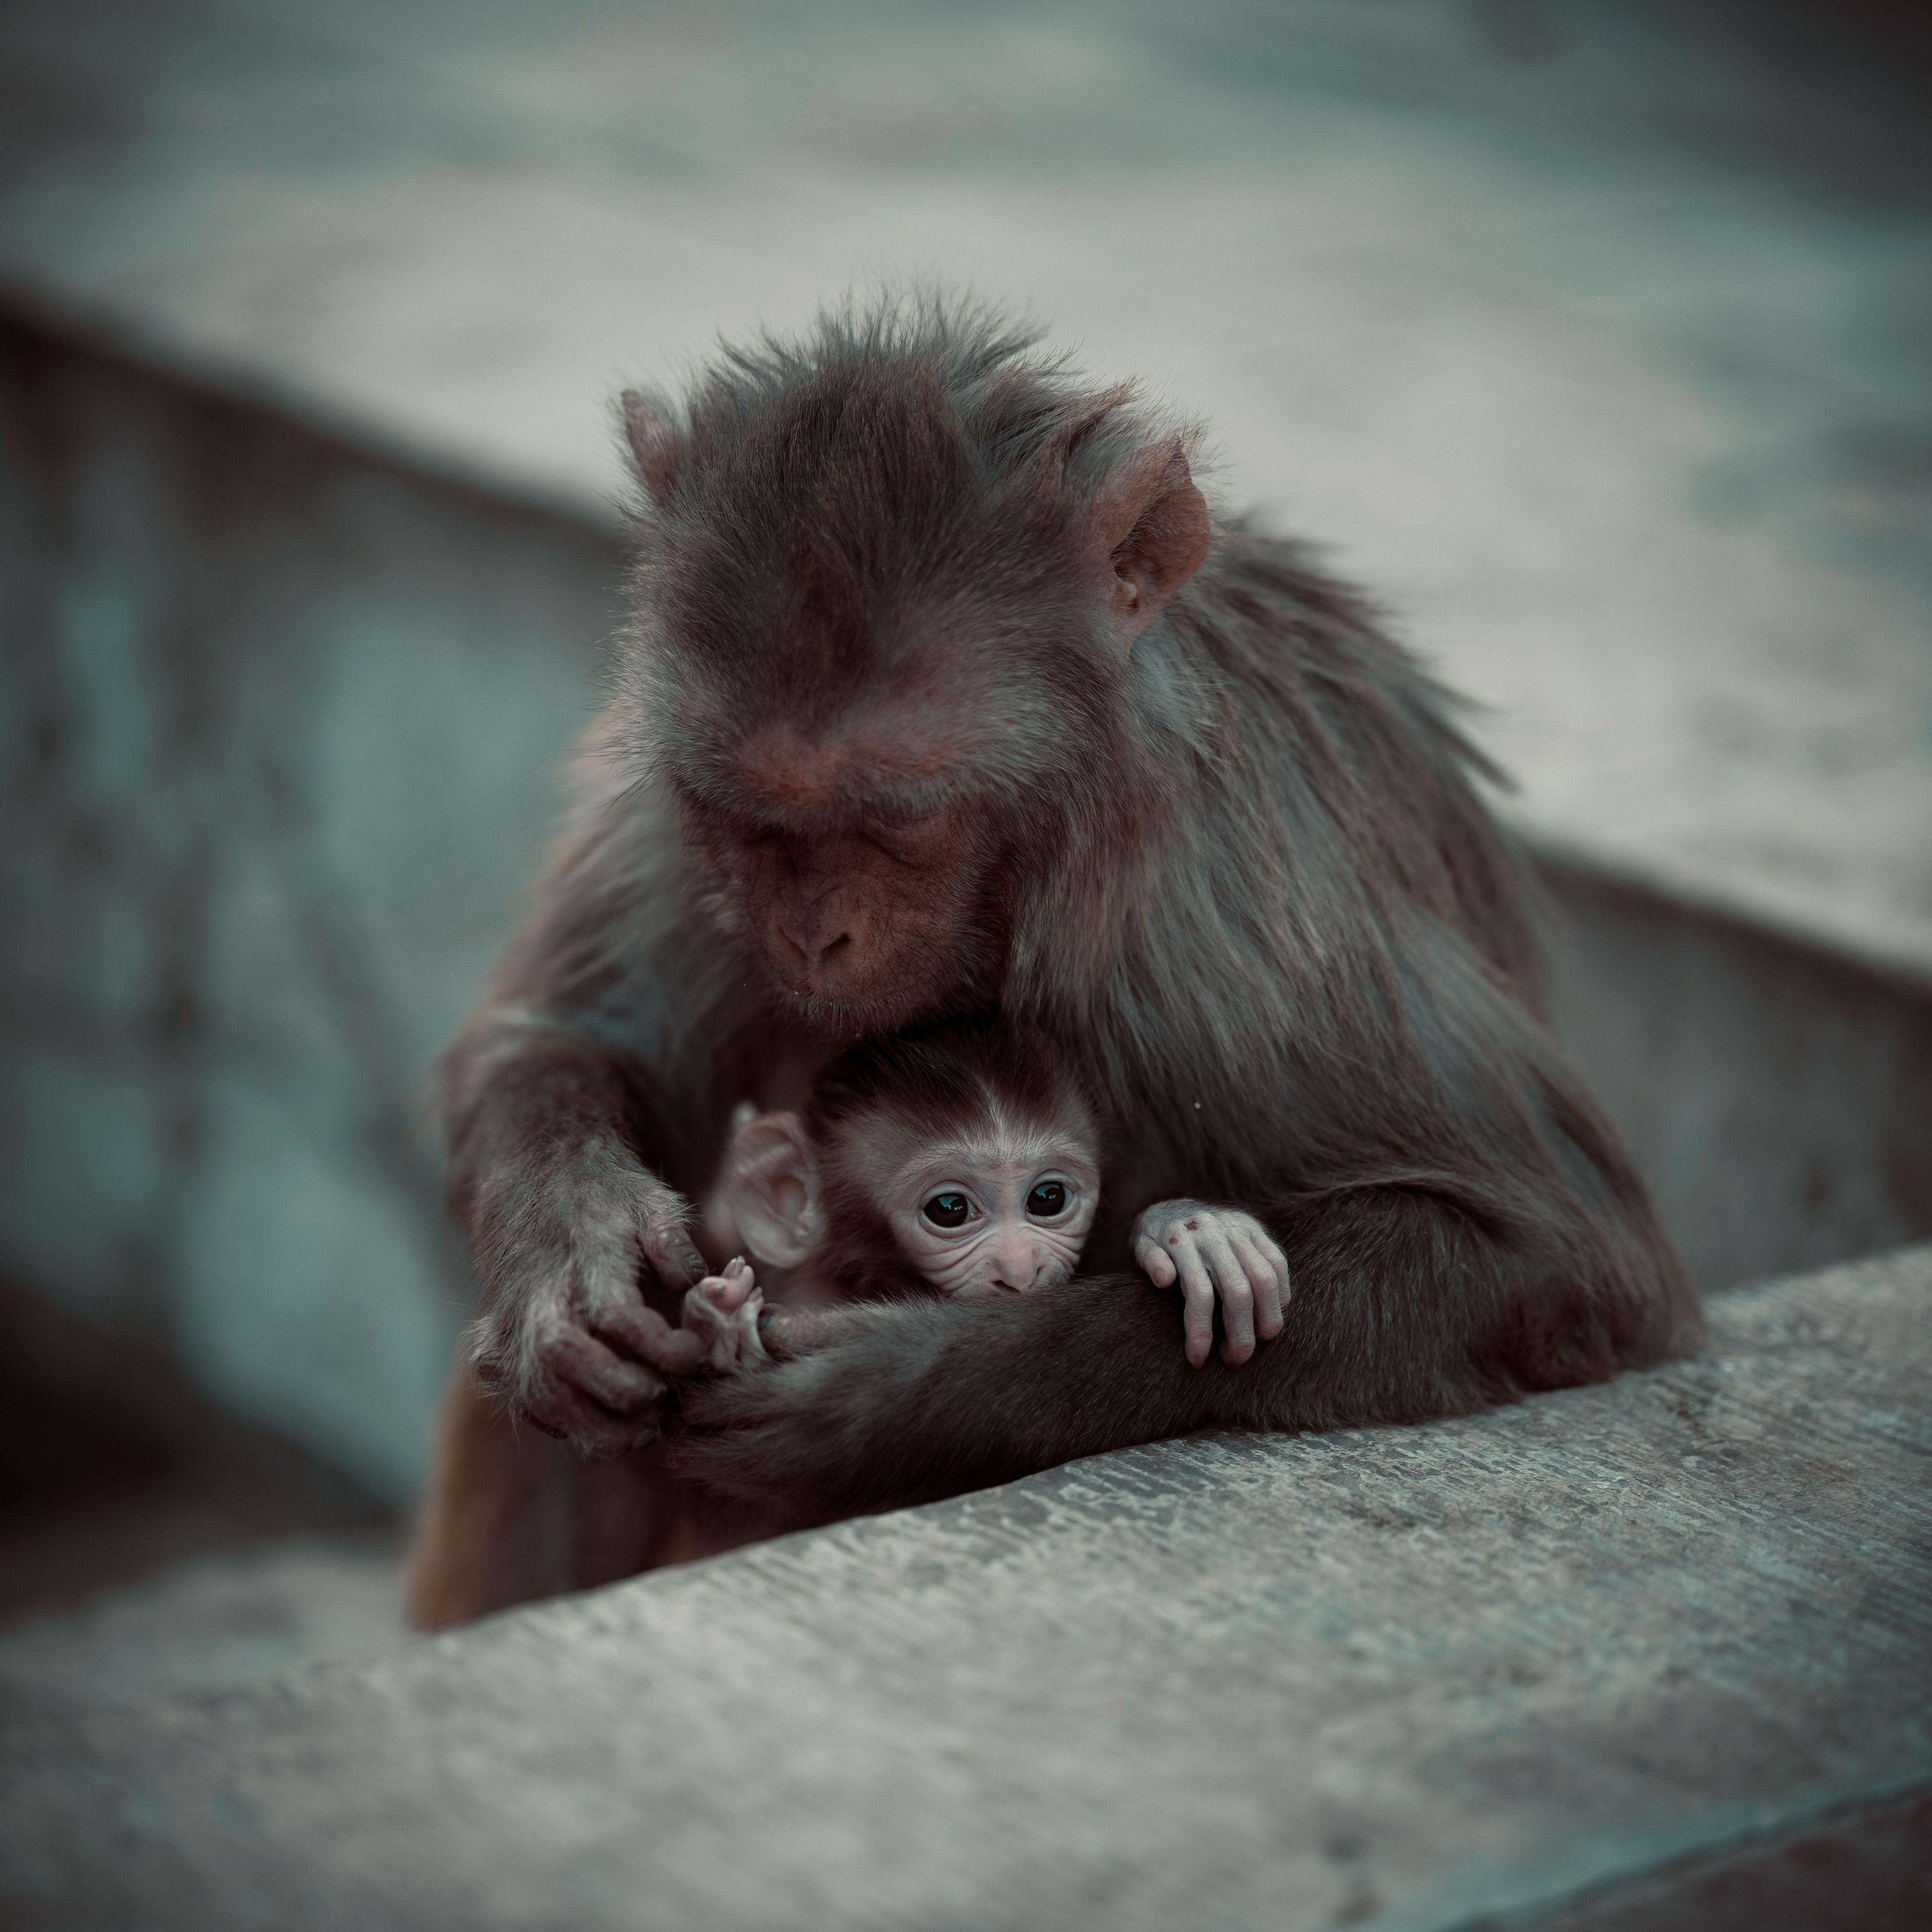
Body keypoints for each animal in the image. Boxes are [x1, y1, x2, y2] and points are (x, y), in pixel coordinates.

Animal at [408, 294, 1701, 1621]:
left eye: (902, 819)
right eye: (753, 821)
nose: (812, 935)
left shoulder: (1222, 888)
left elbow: (1554, 1251)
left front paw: (885, 1392)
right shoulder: (673, 810)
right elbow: (565, 1037)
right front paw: (574, 1252)